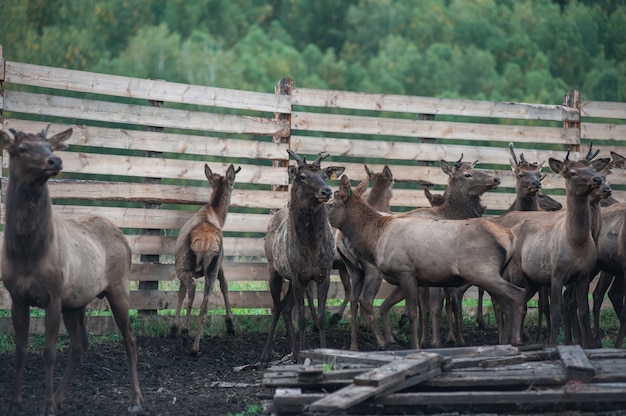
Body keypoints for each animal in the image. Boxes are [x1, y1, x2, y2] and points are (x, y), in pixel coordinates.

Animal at [0, 127, 142, 416]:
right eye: (21, 148)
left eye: (50, 146)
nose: (55, 161)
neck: (26, 252)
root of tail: (123, 237)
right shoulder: (17, 297)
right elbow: (21, 351)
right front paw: (15, 403)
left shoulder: (53, 296)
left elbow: (49, 353)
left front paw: (46, 407)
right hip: (75, 302)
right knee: (80, 345)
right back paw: (60, 397)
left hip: (119, 287)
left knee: (130, 339)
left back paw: (135, 400)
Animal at [167, 162, 240, 354]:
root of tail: (206, 242)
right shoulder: (220, 262)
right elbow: (225, 285)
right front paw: (230, 324)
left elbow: (181, 292)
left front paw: (174, 327)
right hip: (211, 268)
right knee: (204, 306)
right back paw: (195, 347)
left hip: (183, 264)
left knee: (192, 288)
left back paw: (185, 330)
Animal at [260, 150, 344, 364]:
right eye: (303, 176)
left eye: (324, 176)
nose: (327, 192)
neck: (312, 250)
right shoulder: (298, 276)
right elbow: (302, 318)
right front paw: (304, 356)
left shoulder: (321, 275)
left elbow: (320, 318)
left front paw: (322, 354)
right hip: (274, 270)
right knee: (276, 307)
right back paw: (266, 354)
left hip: (292, 279)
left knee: (286, 308)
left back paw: (295, 352)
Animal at [326, 174, 528, 350]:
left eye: (330, 204)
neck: (375, 238)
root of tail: (509, 236)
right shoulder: (415, 278)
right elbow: (418, 310)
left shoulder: (405, 271)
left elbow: (413, 312)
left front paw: (415, 346)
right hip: (492, 273)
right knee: (504, 303)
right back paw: (504, 342)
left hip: (482, 271)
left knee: (517, 294)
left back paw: (516, 340)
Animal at [494, 146, 608, 348]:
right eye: (572, 172)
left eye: (591, 169)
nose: (598, 180)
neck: (577, 241)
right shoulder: (556, 274)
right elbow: (555, 312)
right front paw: (554, 343)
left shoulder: (583, 275)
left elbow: (583, 312)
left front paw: (587, 345)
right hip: (516, 272)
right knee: (508, 302)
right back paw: (509, 340)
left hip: (532, 279)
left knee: (519, 301)